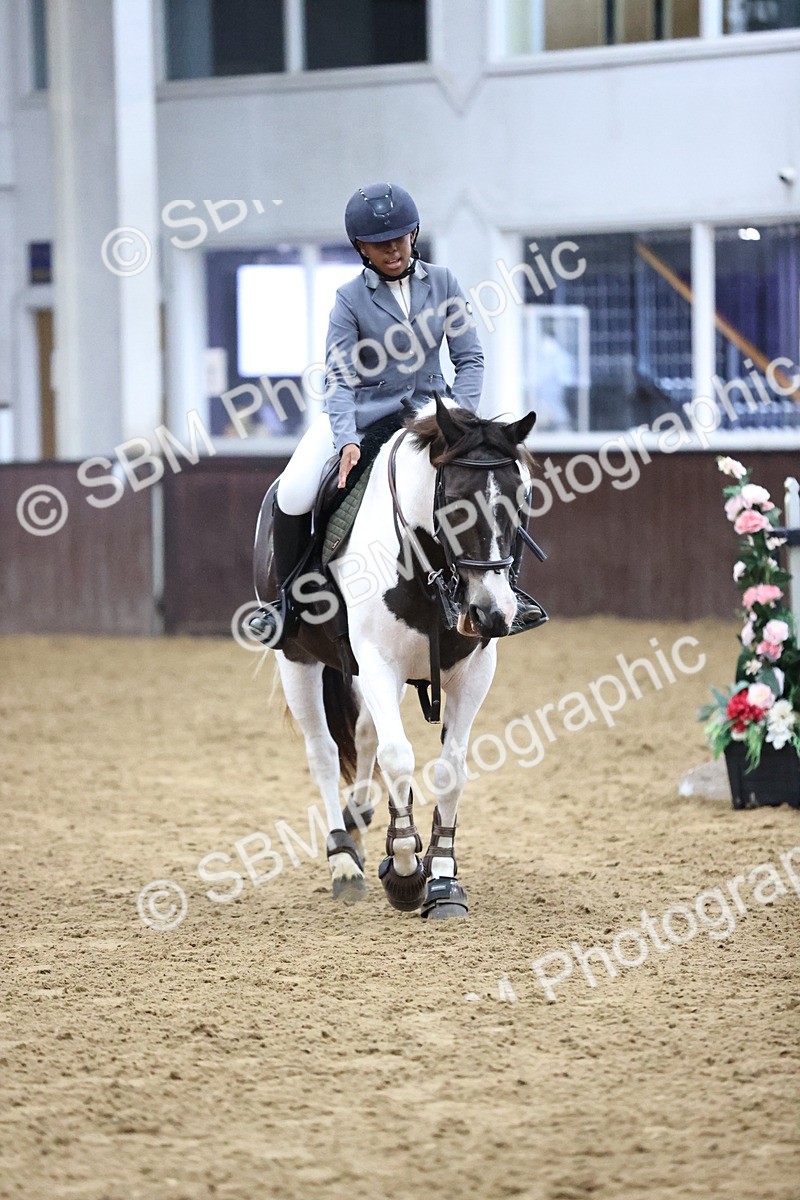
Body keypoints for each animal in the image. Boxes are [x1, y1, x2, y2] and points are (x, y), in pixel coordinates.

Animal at [261, 396, 539, 919]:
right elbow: (397, 757)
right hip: (297, 659)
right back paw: (343, 861)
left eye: (522, 500)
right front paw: (406, 873)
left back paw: (359, 819)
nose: (493, 614)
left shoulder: (474, 672)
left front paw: (443, 877)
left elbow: (451, 769)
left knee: (364, 735)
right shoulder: (376, 663)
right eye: (455, 503)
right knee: (324, 752)